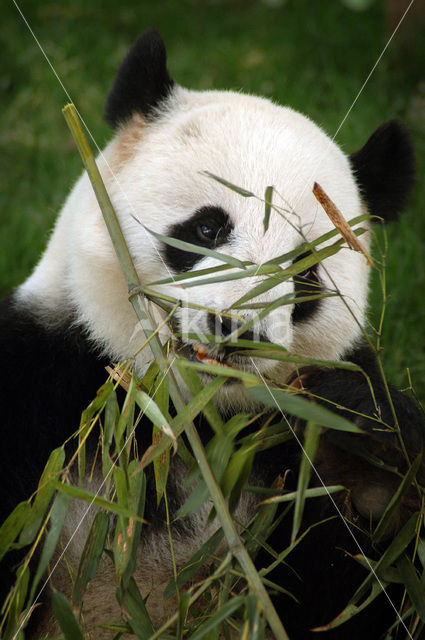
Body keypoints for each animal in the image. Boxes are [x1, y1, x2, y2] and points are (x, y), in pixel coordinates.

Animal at [0, 28, 424, 640]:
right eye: (207, 228)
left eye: (305, 271)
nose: (239, 328)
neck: (188, 424)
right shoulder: (47, 387)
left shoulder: (281, 472)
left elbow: (371, 577)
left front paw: (366, 436)